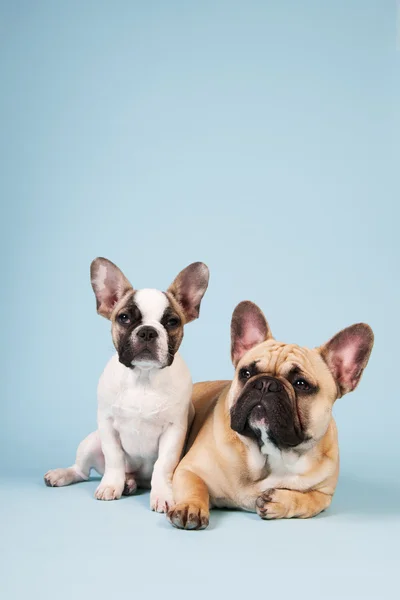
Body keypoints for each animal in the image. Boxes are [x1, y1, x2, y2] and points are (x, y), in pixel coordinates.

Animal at [44, 255, 209, 512]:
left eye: (172, 321)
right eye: (124, 318)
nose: (148, 331)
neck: (143, 377)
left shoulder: (174, 431)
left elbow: (163, 465)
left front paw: (162, 495)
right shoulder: (107, 424)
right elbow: (114, 457)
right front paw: (111, 485)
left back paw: (130, 484)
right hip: (91, 442)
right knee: (81, 470)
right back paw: (67, 475)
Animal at [167, 302, 374, 528]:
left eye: (301, 384)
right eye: (246, 373)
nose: (266, 384)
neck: (269, 453)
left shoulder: (324, 494)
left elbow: (308, 501)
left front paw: (280, 501)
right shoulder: (189, 470)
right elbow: (195, 487)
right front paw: (191, 506)